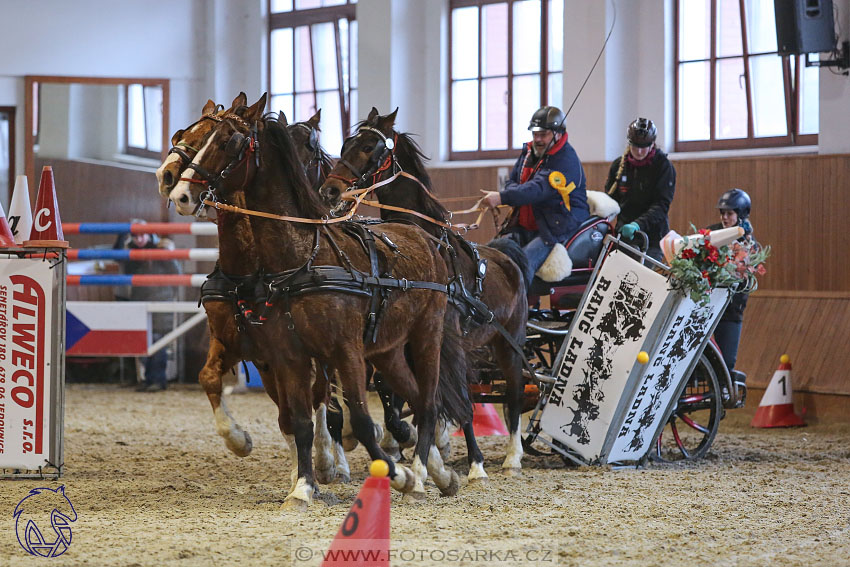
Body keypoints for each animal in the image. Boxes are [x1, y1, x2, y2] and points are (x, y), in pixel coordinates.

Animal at [166, 95, 470, 508]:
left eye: (228, 142)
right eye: (185, 135)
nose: (177, 191)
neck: (298, 259)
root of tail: (423, 237)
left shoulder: (343, 351)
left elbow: (355, 417)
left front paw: (388, 472)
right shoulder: (276, 352)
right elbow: (292, 417)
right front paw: (299, 483)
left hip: (426, 336)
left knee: (428, 401)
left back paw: (422, 471)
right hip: (388, 350)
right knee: (415, 396)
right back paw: (439, 472)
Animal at [320, 108, 528, 478]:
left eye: (370, 146)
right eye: (345, 144)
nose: (330, 190)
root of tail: (507, 257)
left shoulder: (445, 337)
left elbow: (458, 398)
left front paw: (474, 464)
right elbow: (406, 392)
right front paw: (414, 445)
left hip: (509, 342)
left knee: (515, 394)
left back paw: (513, 457)